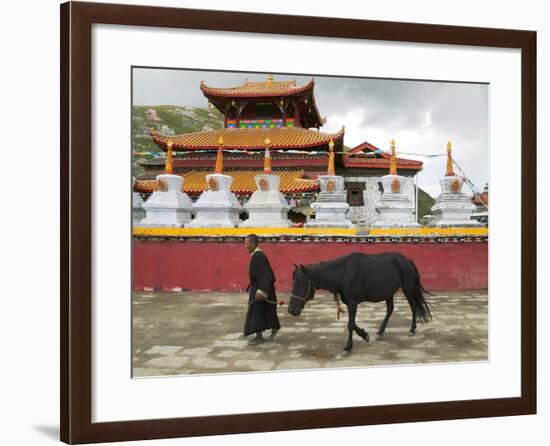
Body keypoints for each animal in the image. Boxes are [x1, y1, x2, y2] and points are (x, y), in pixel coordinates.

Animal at [286, 251, 434, 356]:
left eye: (301, 283)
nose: (291, 310)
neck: (344, 273)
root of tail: (407, 260)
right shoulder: (349, 303)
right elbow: (353, 324)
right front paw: (364, 335)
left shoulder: (353, 303)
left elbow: (350, 324)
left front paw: (348, 347)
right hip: (389, 292)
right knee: (390, 309)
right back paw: (380, 332)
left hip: (407, 288)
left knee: (413, 306)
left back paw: (412, 329)